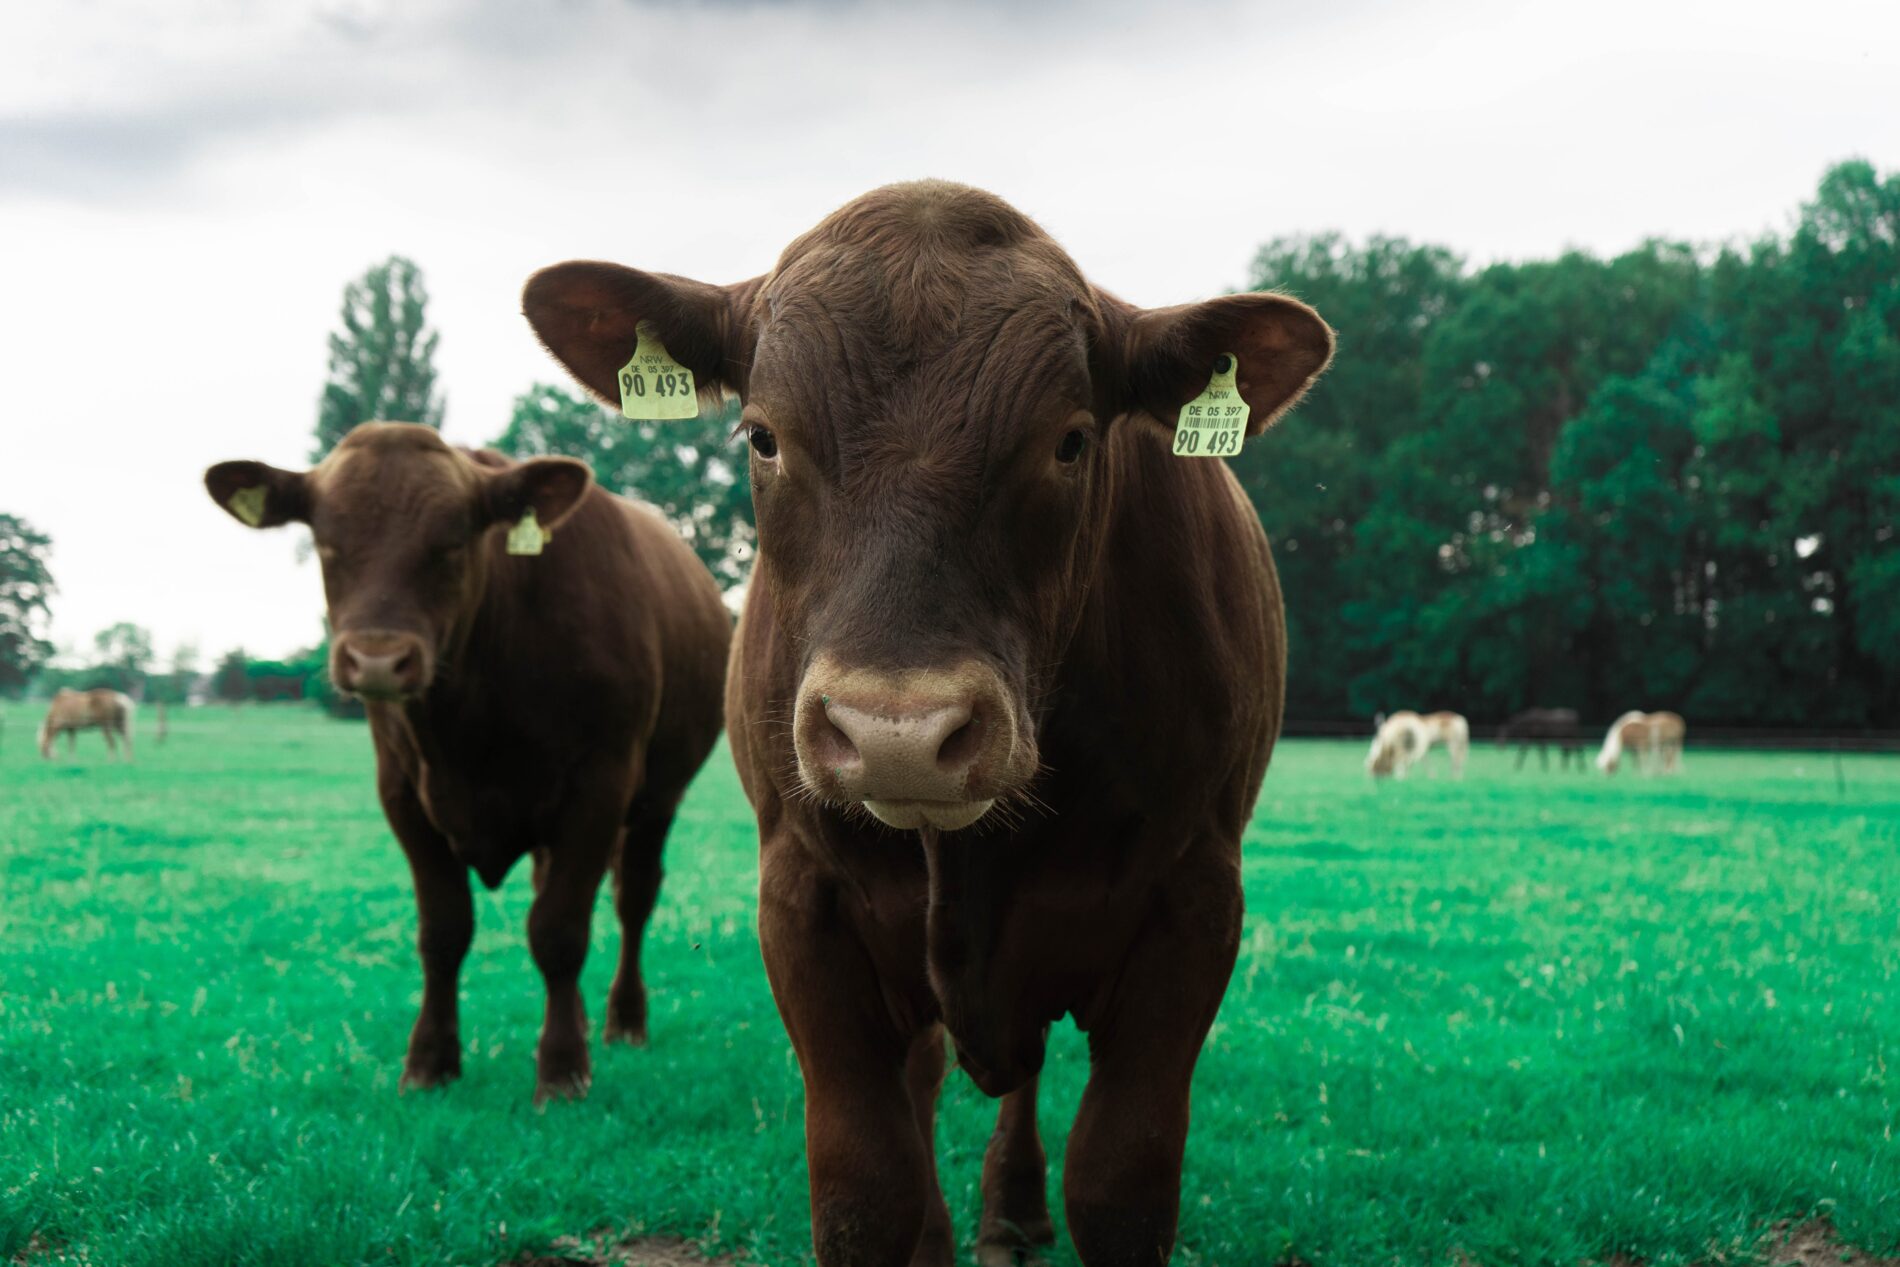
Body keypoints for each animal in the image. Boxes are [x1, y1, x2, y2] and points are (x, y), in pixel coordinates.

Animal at [204, 423, 730, 1102]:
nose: (378, 660)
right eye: (326, 542)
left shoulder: (600, 788)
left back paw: (622, 1020)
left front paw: (562, 1069)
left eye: (453, 544)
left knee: (632, 898)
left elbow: (559, 930)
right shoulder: (404, 794)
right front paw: (431, 1061)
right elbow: (444, 930)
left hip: (660, 798)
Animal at [524, 180, 1334, 1265]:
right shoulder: (805, 904)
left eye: (1071, 439)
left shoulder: (1194, 901)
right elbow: (867, 1183)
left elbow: (1120, 1180)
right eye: (763, 436)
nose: (896, 734)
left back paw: (1012, 1204)